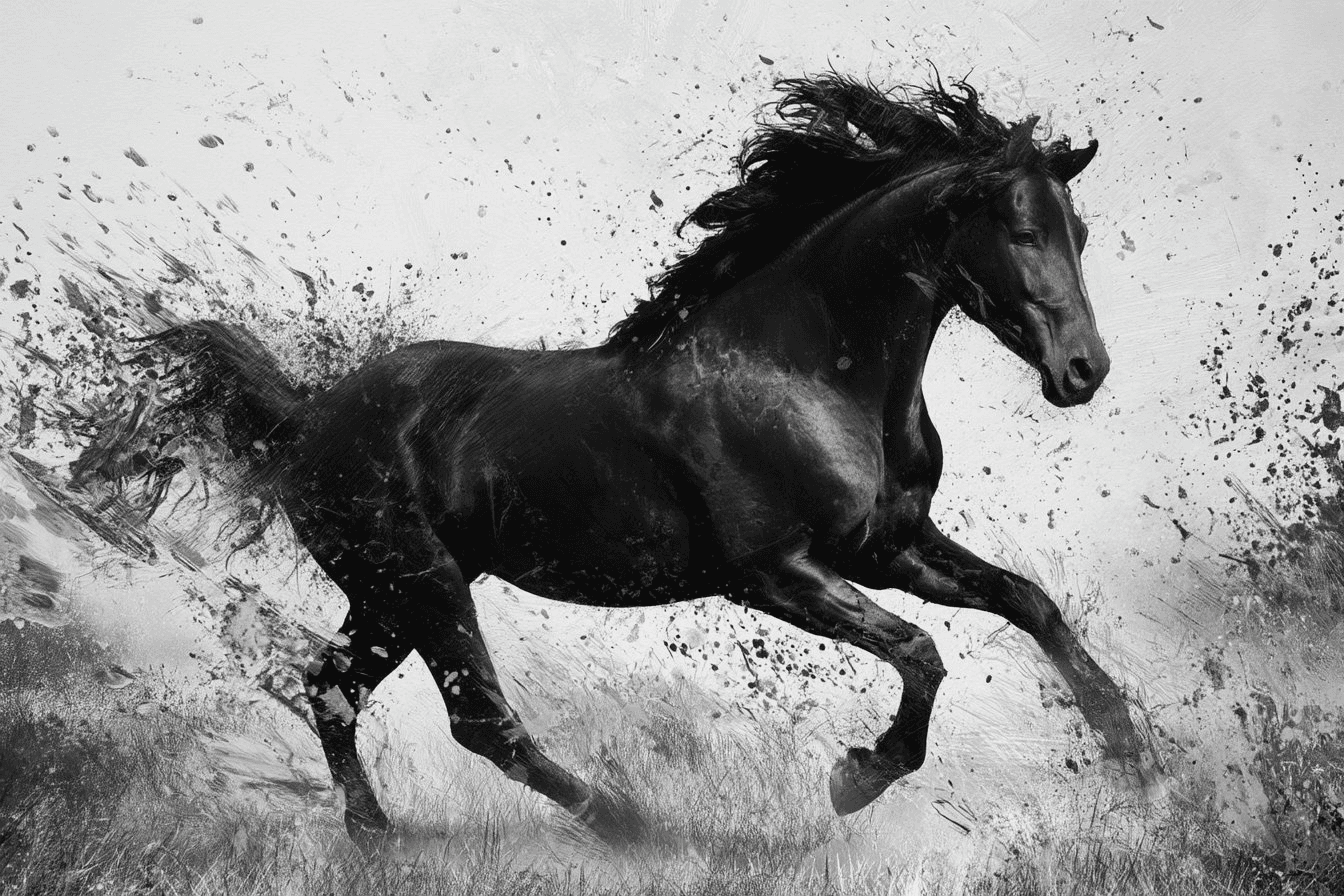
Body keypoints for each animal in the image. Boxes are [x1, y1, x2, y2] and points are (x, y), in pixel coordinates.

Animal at [88, 73, 1156, 848]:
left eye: (1081, 231)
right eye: (1022, 229)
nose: (1085, 370)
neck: (803, 370)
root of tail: (309, 416)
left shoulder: (886, 545)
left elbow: (1028, 602)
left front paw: (1134, 751)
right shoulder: (775, 574)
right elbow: (921, 652)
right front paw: (856, 778)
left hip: (391, 592)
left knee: (331, 690)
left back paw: (377, 837)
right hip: (423, 580)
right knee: (479, 720)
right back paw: (631, 826)